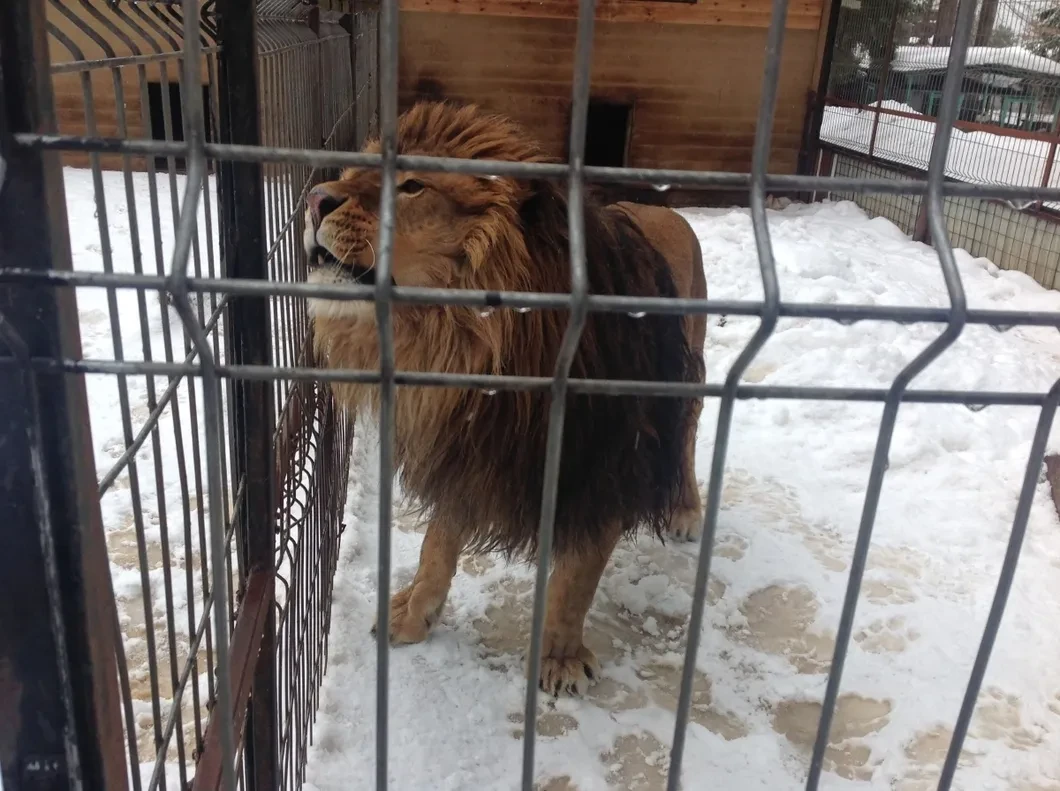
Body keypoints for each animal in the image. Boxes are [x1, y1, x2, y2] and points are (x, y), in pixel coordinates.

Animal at [303, 100, 708, 695]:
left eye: (413, 186)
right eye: (359, 169)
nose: (315, 199)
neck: (467, 339)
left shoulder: (602, 463)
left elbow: (576, 579)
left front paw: (559, 658)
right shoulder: (470, 445)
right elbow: (436, 544)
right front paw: (412, 615)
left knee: (688, 434)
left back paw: (684, 507)